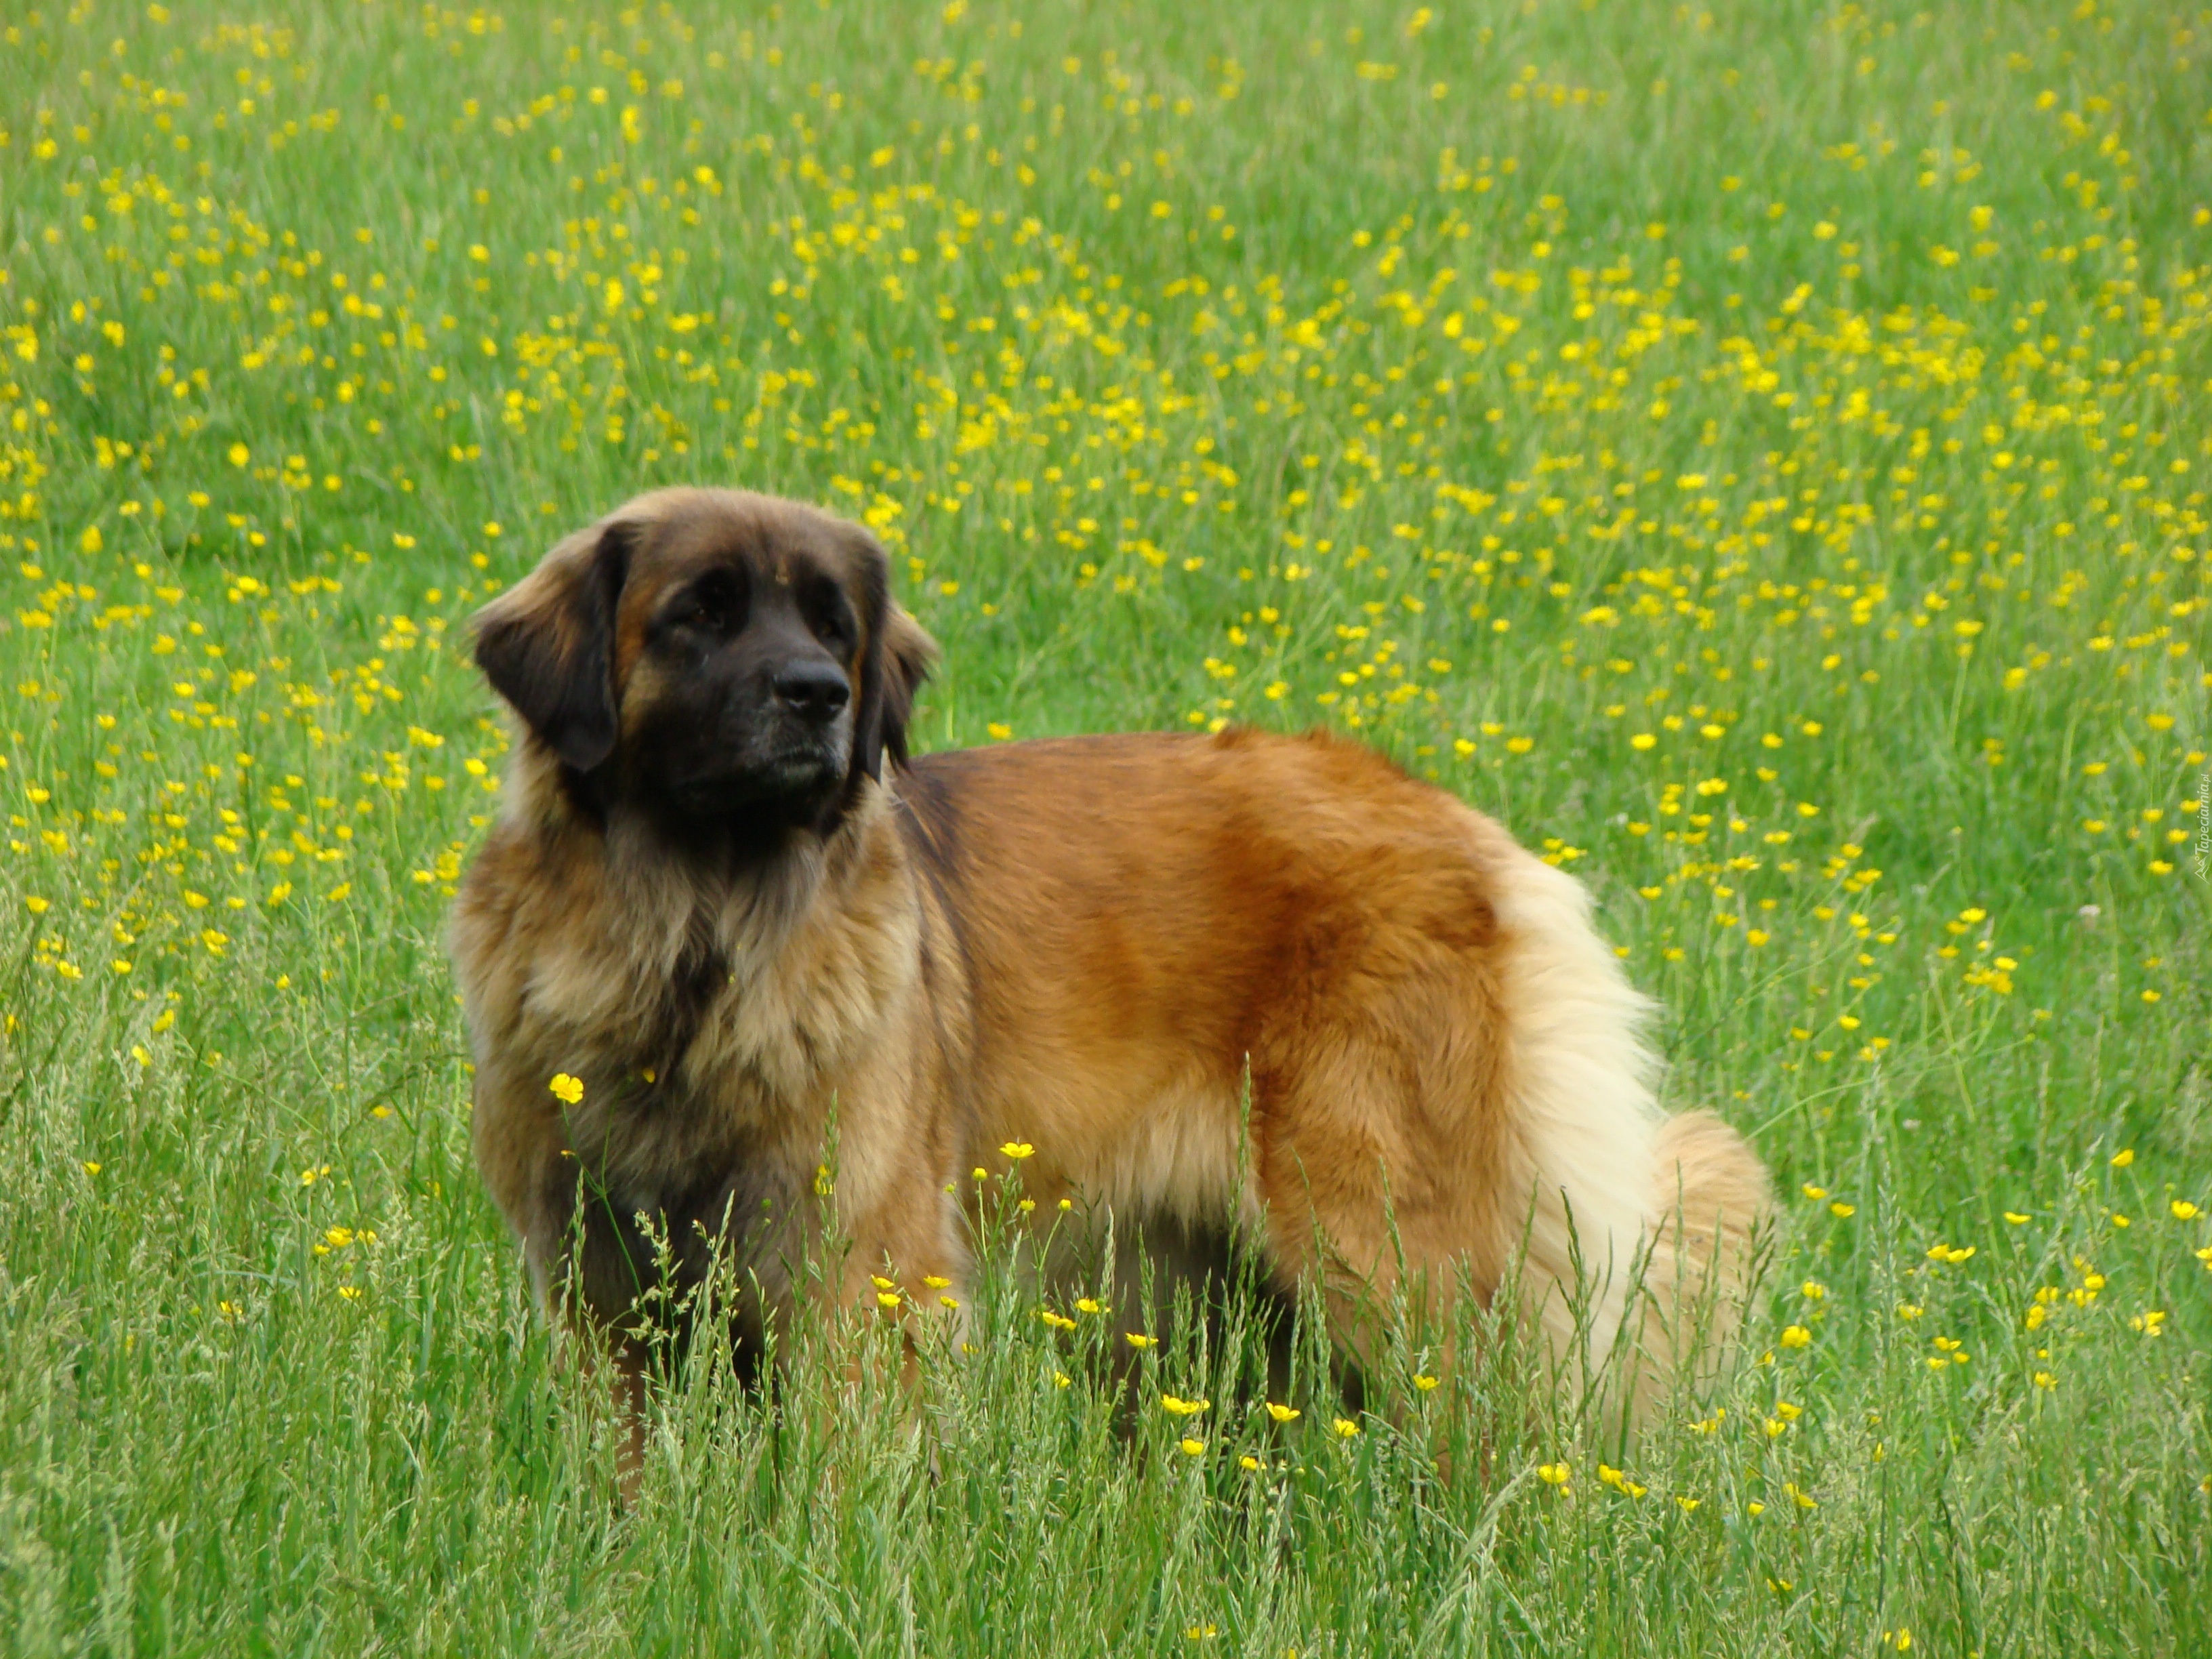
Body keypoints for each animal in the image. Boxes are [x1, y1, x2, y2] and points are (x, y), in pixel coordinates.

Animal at [457, 484, 1769, 1451]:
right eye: (701, 613)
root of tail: (1463, 826)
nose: (818, 695)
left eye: (834, 626)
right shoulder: (600, 1295)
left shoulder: (858, 1274)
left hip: (1396, 1258)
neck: (701, 938)